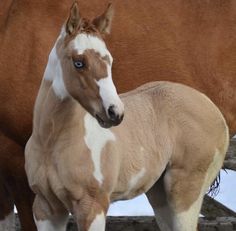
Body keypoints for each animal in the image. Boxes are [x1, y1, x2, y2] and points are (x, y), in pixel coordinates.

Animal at [0, 0, 236, 230]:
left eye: (110, 60)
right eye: (79, 62)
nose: (115, 113)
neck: (53, 140)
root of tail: (209, 105)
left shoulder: (92, 206)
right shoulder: (46, 208)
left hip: (185, 192)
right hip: (159, 193)